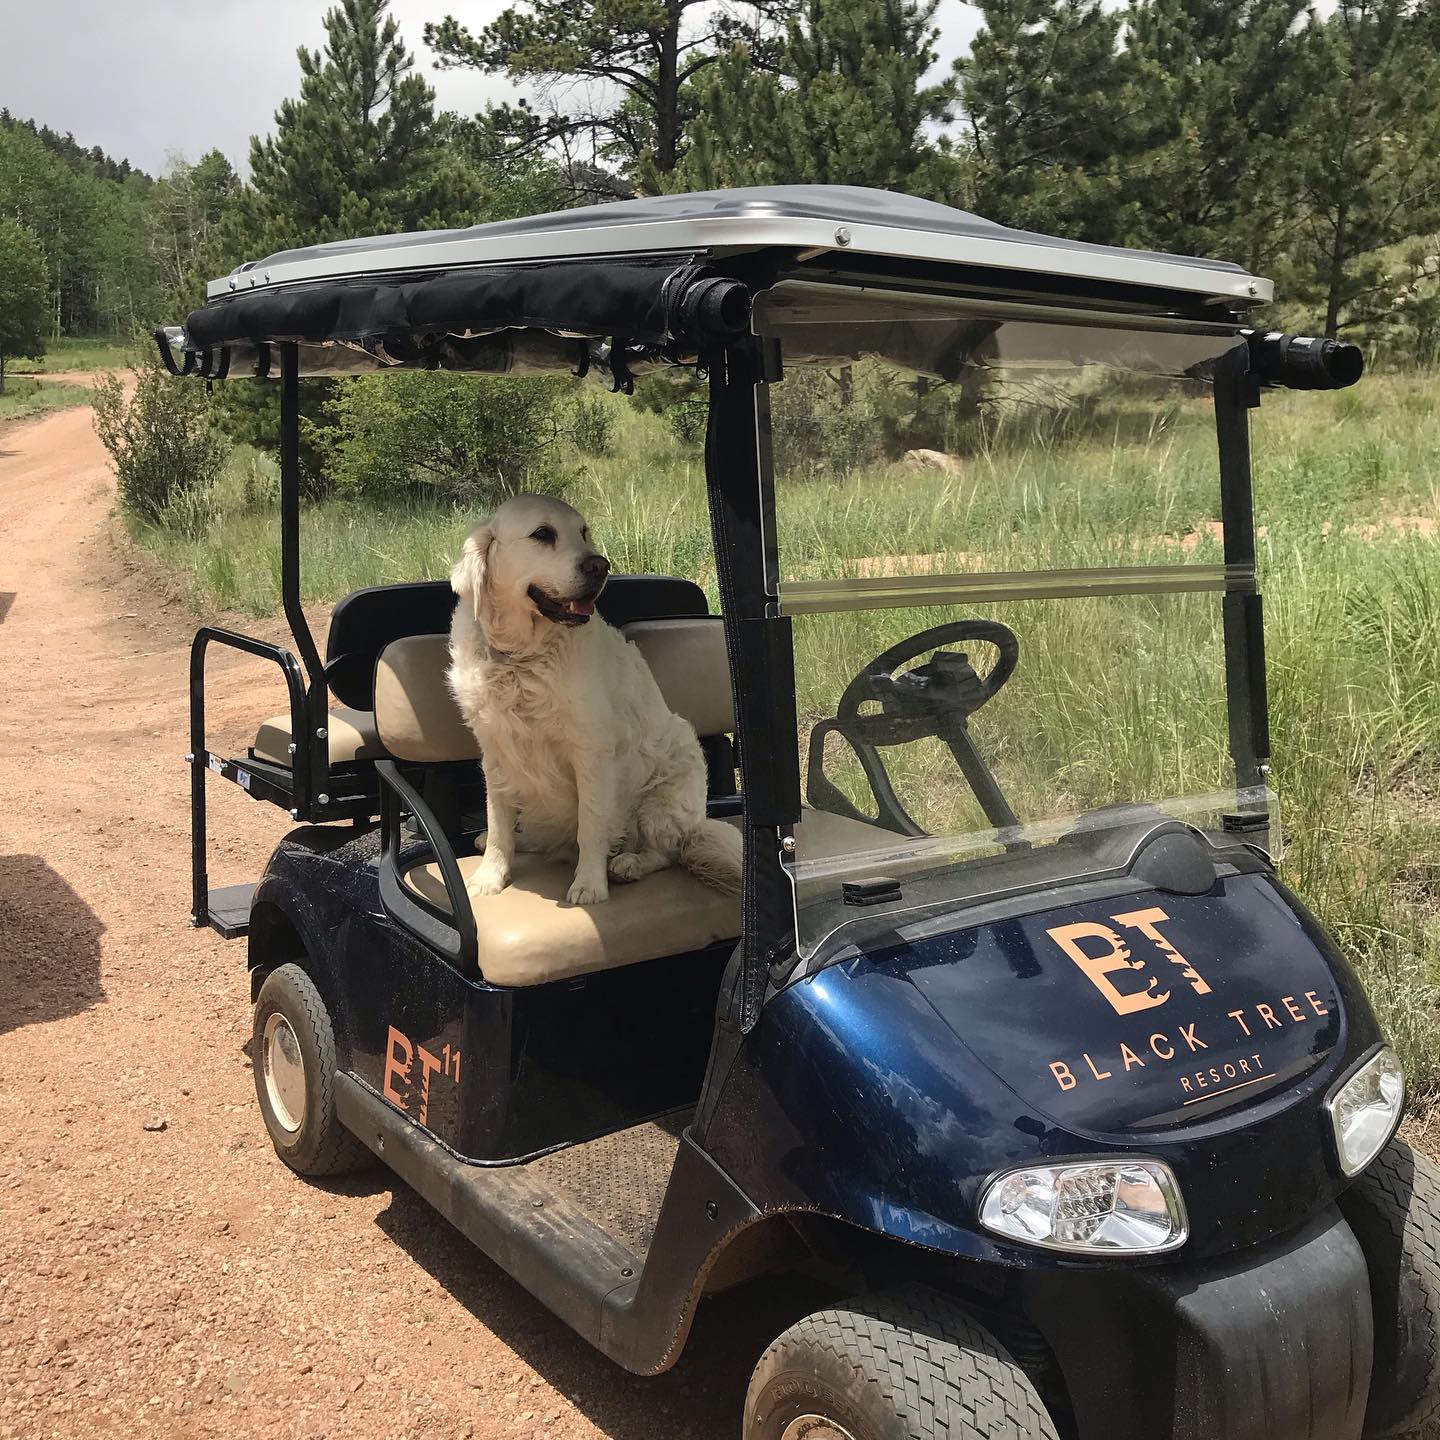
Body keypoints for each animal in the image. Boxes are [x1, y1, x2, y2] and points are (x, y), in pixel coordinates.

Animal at [446, 495, 743, 898]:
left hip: (665, 794)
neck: (522, 657)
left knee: (666, 852)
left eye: (584, 532)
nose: (600, 566)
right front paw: (489, 876)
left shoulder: (590, 750)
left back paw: (628, 863)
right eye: (543, 534)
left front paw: (589, 884)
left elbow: (590, 824)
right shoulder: (496, 750)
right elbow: (498, 822)